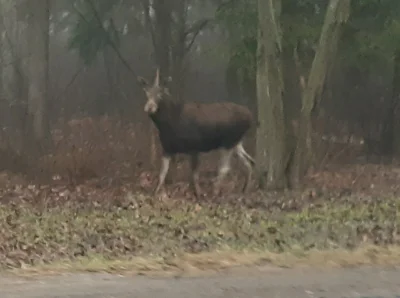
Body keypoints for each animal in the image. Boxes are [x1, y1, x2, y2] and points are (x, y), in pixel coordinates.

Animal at [138, 68, 256, 197]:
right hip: (237, 142)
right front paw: (154, 193)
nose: (149, 107)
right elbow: (162, 174)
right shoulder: (167, 148)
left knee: (225, 168)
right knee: (249, 162)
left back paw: (215, 192)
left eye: (160, 94)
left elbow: (194, 175)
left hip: (228, 141)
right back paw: (244, 190)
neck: (168, 124)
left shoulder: (194, 147)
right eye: (146, 93)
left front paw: (198, 194)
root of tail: (250, 117)